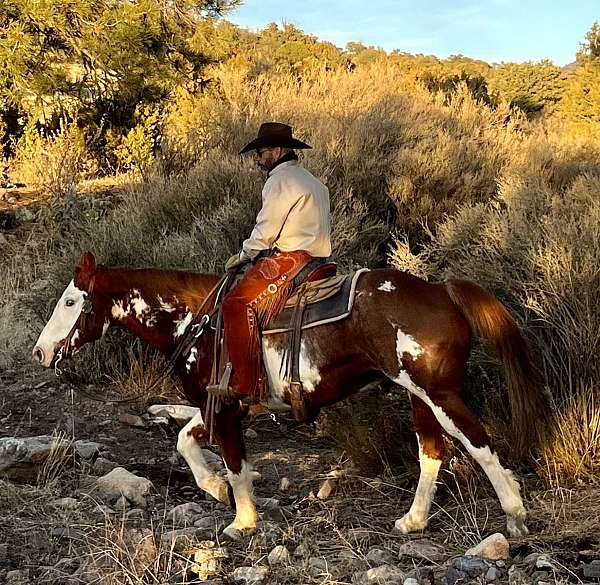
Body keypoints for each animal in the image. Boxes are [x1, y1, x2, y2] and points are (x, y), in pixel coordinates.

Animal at [34, 251, 548, 540]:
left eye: (71, 301)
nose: (40, 352)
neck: (195, 320)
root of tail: (441, 290)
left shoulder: (223, 406)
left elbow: (234, 462)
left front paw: (241, 521)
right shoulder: (221, 404)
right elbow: (185, 440)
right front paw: (214, 488)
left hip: (440, 394)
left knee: (480, 446)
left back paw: (516, 516)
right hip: (419, 397)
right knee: (432, 454)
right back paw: (413, 521)